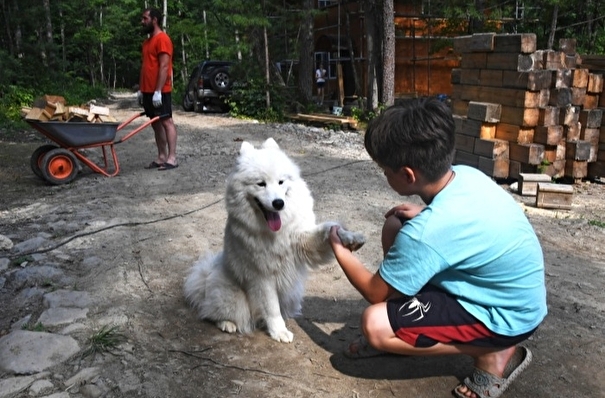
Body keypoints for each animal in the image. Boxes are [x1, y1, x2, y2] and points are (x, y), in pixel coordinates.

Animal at [183, 137, 364, 342]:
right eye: (261, 184)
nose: (278, 203)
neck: (277, 231)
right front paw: (279, 331)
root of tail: (205, 275)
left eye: (280, 182)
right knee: (212, 312)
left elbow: (329, 228)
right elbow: (271, 308)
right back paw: (227, 323)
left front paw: (350, 237)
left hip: (293, 294)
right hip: (233, 297)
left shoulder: (303, 241)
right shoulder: (262, 275)